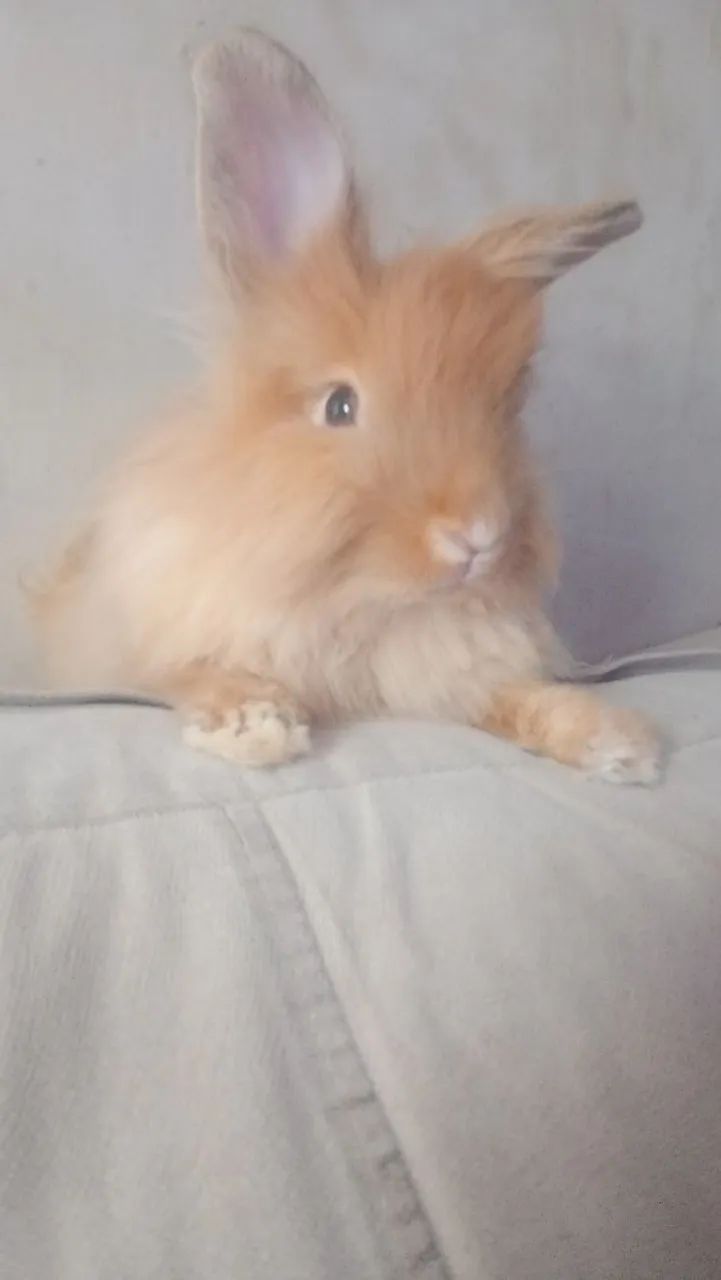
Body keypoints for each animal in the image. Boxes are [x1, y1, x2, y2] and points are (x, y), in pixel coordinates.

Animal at [32, 29, 660, 783]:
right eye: (338, 406)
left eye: (505, 406)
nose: (479, 535)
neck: (360, 608)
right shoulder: (146, 643)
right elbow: (193, 670)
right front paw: (255, 725)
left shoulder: (452, 672)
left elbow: (509, 695)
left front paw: (616, 740)